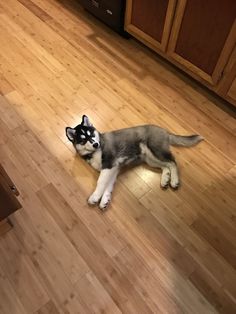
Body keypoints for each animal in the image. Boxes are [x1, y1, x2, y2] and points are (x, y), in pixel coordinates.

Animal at [66, 116, 203, 211]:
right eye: (83, 140)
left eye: (92, 134)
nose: (95, 144)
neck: (95, 152)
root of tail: (165, 131)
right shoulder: (113, 168)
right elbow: (108, 185)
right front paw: (105, 200)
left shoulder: (108, 165)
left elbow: (100, 182)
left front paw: (95, 197)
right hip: (150, 158)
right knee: (166, 165)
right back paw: (165, 180)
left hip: (155, 149)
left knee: (173, 162)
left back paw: (174, 181)